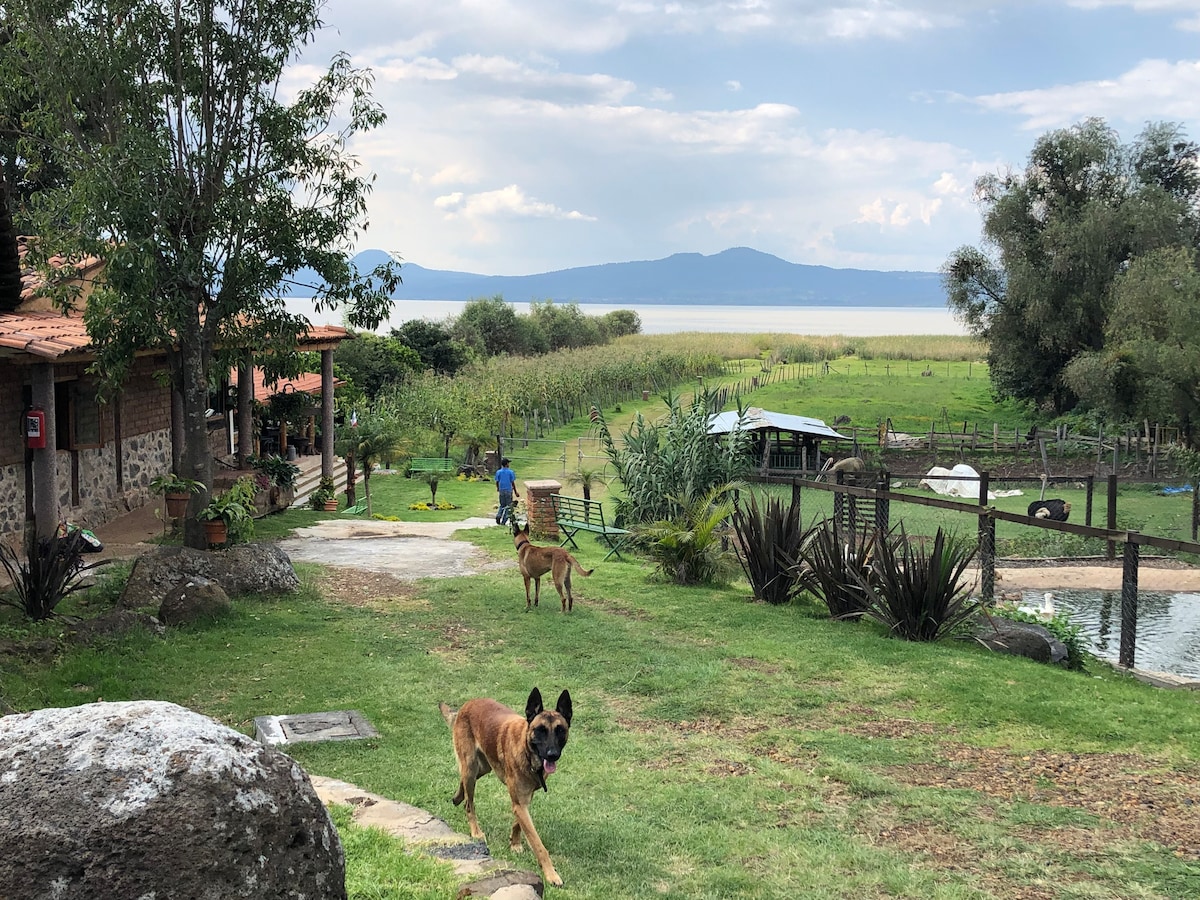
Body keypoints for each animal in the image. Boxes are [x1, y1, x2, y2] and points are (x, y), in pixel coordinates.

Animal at [439, 691, 573, 888]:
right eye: (540, 730)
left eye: (560, 730)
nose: (552, 755)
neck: (527, 751)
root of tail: (468, 704)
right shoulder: (520, 802)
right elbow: (538, 844)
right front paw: (551, 874)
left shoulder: (524, 799)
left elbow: (519, 823)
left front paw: (515, 843)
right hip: (471, 767)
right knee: (469, 804)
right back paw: (476, 831)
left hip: (483, 767)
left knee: (463, 782)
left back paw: (457, 796)